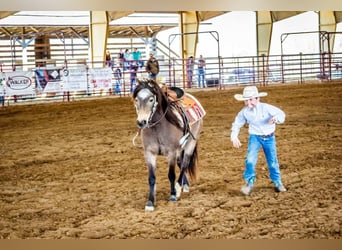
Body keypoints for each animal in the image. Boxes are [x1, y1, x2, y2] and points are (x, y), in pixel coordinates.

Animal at [132, 78, 204, 211]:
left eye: (151, 99)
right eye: (136, 99)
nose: (141, 122)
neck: (158, 127)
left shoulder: (171, 152)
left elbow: (171, 175)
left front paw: (173, 195)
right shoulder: (149, 153)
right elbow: (151, 178)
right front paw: (150, 202)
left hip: (191, 142)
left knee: (185, 164)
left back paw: (178, 188)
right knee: (181, 163)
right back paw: (185, 185)